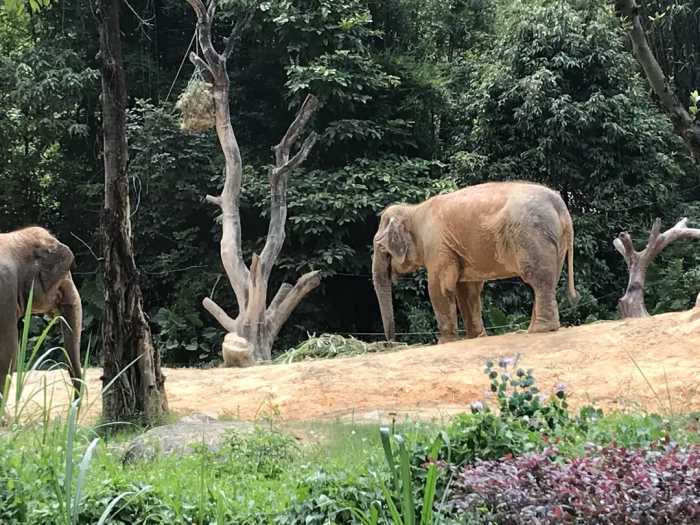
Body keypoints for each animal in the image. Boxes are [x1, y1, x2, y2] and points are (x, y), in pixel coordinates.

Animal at [372, 180, 580, 344]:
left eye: (381, 249)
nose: (392, 342)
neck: (413, 210)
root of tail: (560, 205)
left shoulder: (437, 245)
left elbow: (439, 286)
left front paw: (445, 342)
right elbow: (467, 289)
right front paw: (475, 337)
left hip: (532, 235)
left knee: (538, 279)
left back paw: (540, 330)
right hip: (554, 240)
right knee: (548, 280)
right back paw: (534, 329)